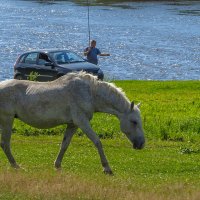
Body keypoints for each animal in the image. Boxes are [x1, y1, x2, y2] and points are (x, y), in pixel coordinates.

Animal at [0, 72, 145, 173]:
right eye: (134, 121)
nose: (141, 144)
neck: (90, 93)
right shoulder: (82, 121)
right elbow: (97, 141)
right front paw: (106, 168)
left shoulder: (73, 125)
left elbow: (64, 144)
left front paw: (57, 165)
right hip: (7, 119)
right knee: (5, 144)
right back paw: (16, 166)